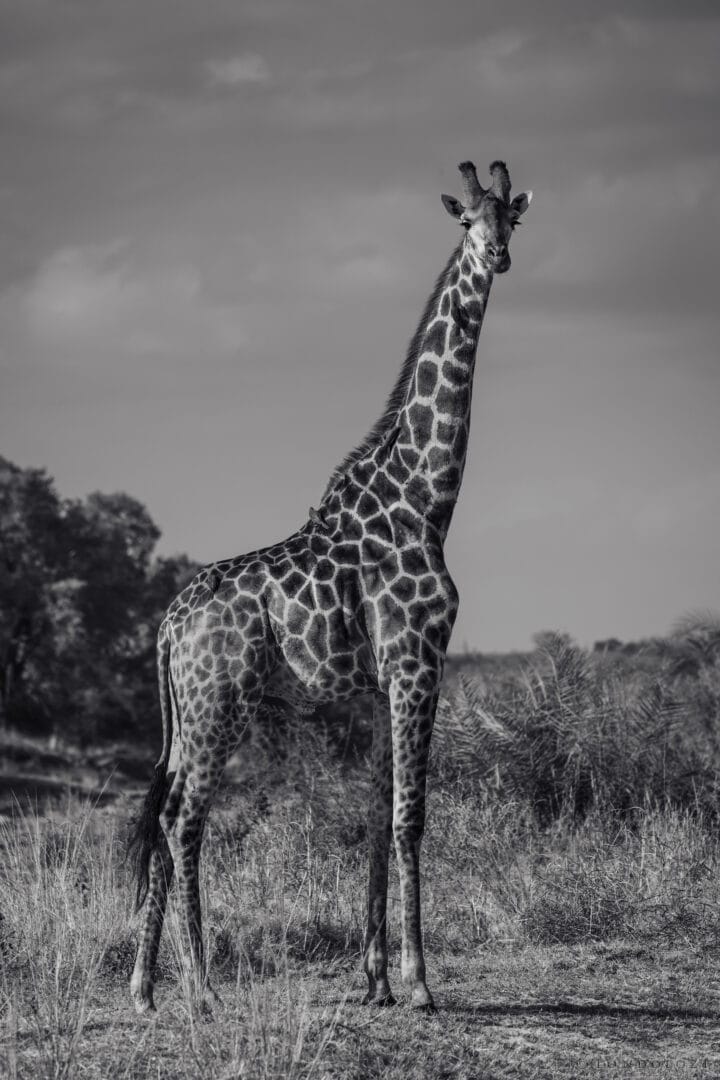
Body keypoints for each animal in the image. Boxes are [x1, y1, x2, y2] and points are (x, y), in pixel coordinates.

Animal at [129, 158, 531, 1014]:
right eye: (466, 222)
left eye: (511, 217)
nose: (498, 255)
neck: (425, 500)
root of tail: (168, 626)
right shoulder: (418, 663)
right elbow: (410, 818)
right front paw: (419, 982)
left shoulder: (381, 686)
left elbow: (378, 819)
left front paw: (375, 978)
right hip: (219, 706)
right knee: (183, 819)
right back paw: (203, 989)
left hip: (184, 714)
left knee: (160, 815)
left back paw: (146, 989)